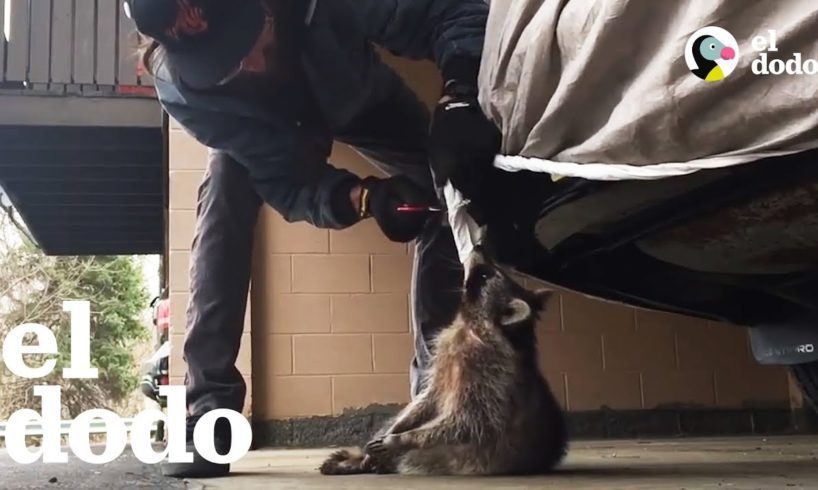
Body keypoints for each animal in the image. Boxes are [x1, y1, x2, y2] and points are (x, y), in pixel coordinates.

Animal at [318, 249, 568, 474]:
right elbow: (428, 398)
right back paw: (362, 459)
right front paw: (396, 429)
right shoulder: (444, 362)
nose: (478, 248)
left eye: (485, 275)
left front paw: (404, 438)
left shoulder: (490, 375)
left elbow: (468, 421)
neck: (470, 324)